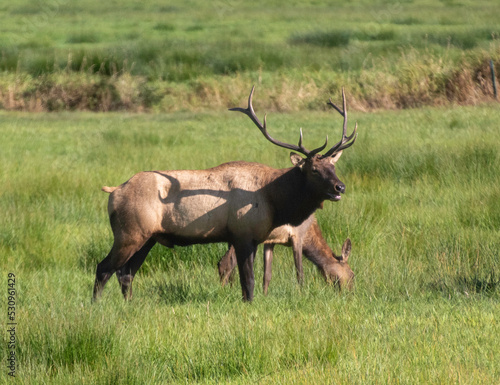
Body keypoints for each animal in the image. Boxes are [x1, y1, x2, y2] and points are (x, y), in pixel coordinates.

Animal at [217, 214, 354, 292]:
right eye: (352, 274)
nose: (349, 294)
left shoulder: (271, 241)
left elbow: (267, 275)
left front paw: (264, 295)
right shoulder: (297, 237)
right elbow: (300, 273)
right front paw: (302, 294)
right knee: (225, 263)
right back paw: (223, 292)